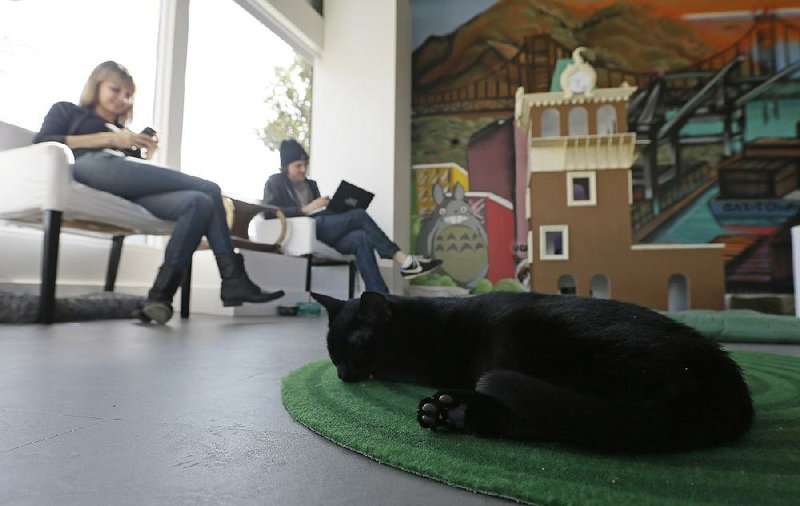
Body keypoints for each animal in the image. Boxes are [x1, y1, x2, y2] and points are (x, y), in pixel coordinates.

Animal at [310, 290, 752, 452]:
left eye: (356, 348)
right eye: (333, 354)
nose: (343, 374)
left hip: (526, 334)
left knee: (573, 419)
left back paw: (456, 409)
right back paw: (453, 412)